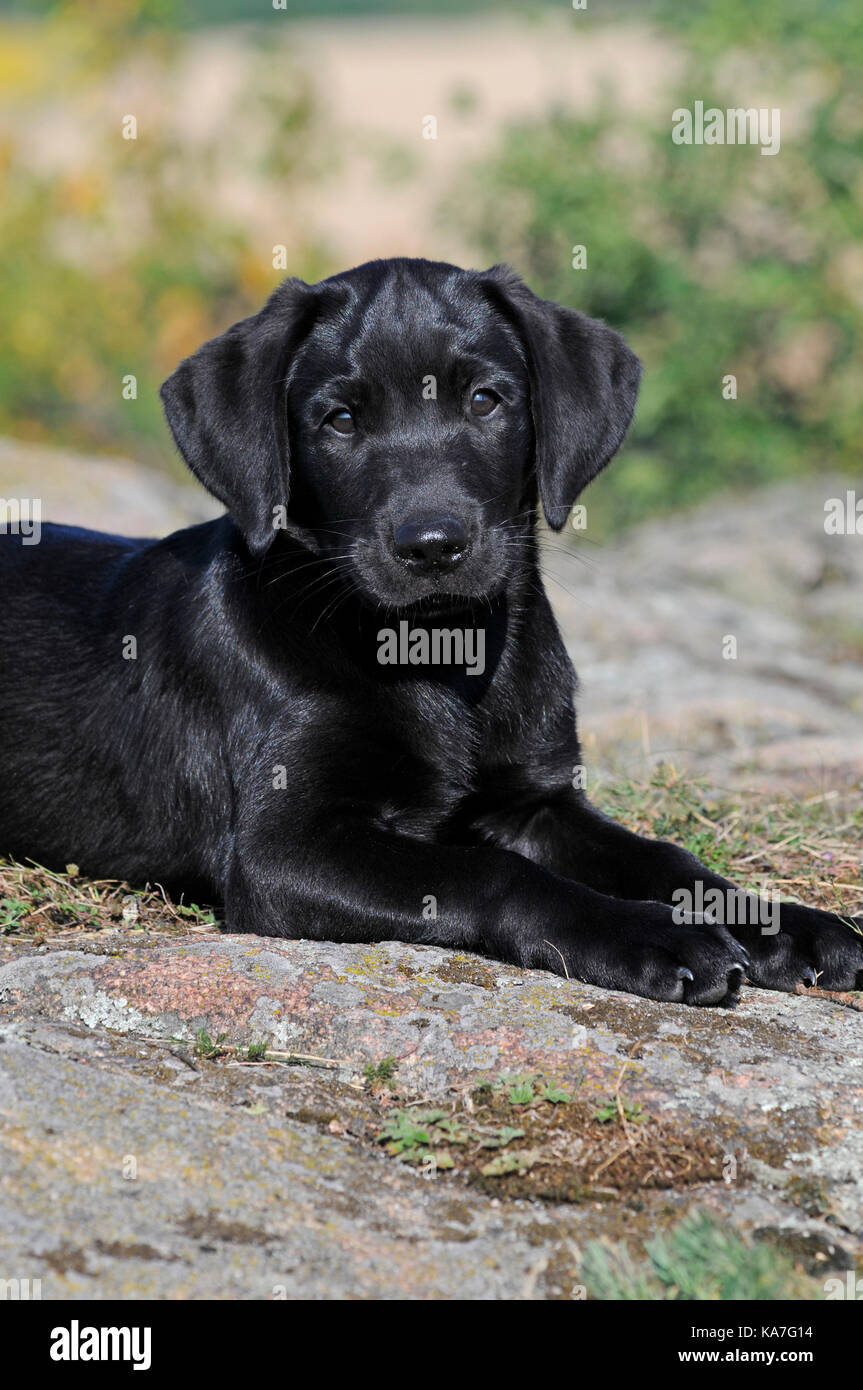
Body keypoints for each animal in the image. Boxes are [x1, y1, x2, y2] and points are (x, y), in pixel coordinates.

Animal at [1, 258, 861, 1000]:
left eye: (484, 400)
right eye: (340, 420)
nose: (432, 545)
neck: (438, 654)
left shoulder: (536, 803)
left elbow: (664, 855)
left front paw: (780, 922)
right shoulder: (282, 850)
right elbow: (487, 872)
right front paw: (653, 935)